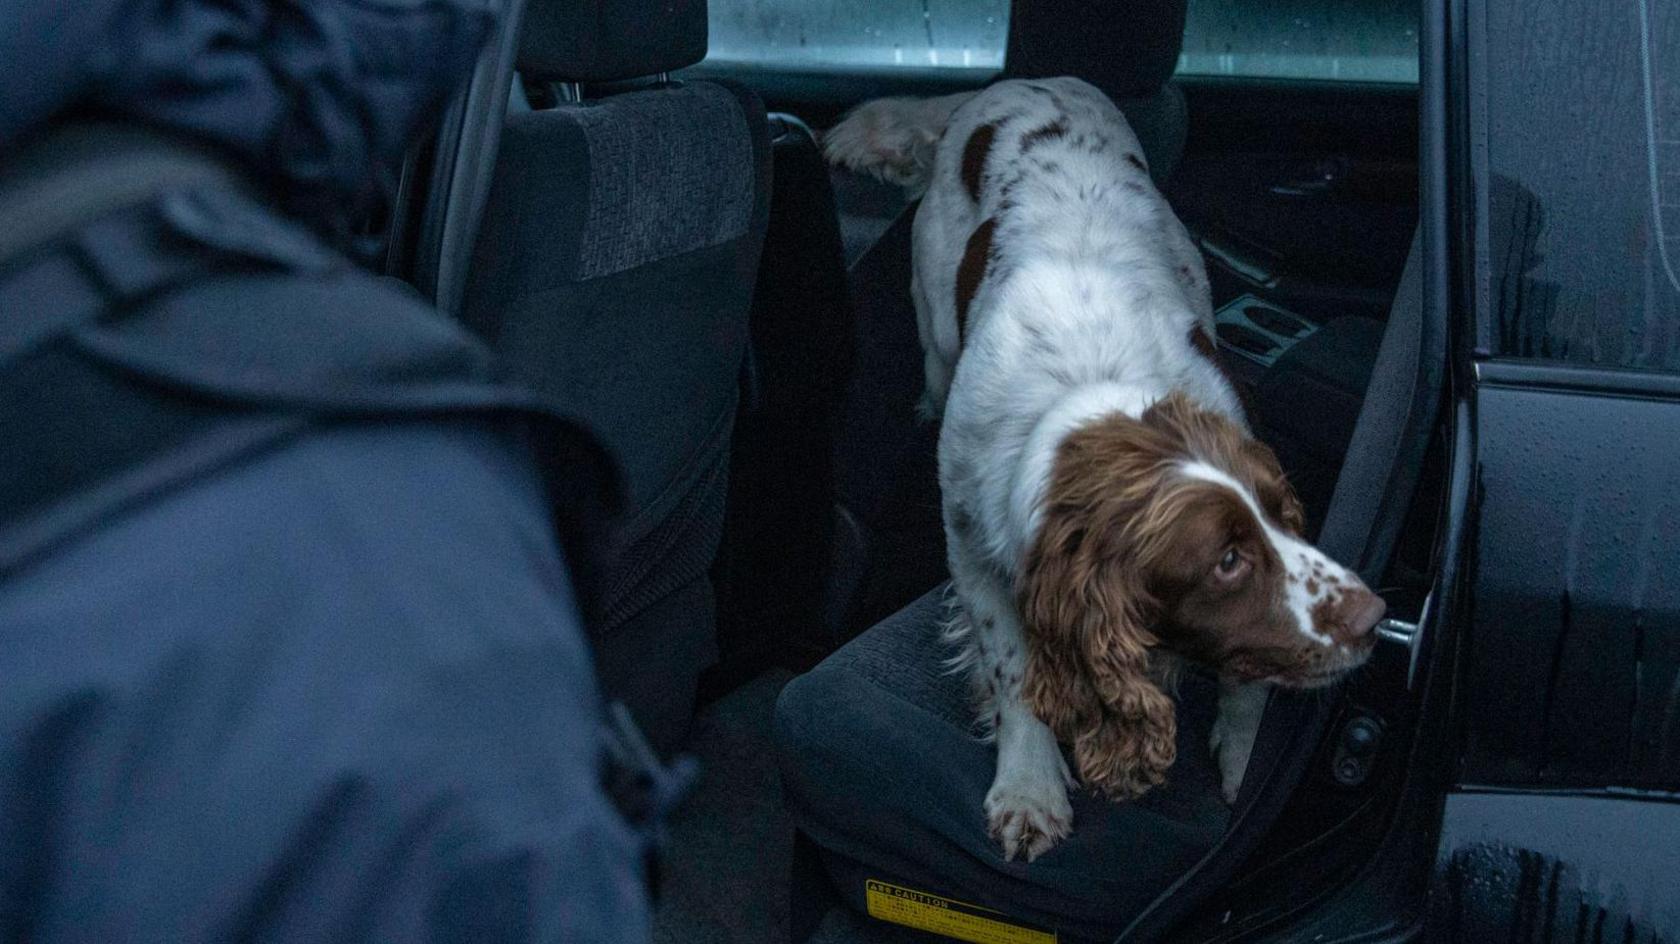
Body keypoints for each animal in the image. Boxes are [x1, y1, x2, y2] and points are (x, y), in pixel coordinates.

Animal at [819, 78, 1384, 860]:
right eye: (1227, 560)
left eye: (1283, 518)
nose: (1375, 616)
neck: (1089, 388)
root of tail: (1018, 81)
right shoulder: (973, 546)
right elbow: (1013, 668)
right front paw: (1030, 789)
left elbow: (1248, 682)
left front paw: (1247, 760)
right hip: (934, 330)